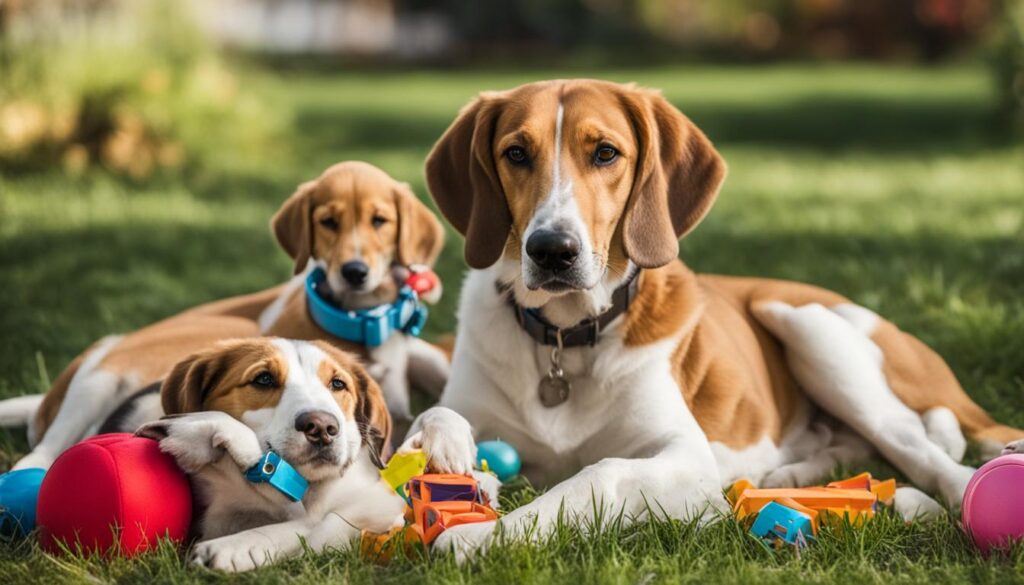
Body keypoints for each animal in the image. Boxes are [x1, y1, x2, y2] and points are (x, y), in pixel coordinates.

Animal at [0, 159, 448, 471]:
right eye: (328, 223)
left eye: (380, 222)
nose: (354, 272)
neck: (360, 319)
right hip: (120, 370)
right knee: (42, 452)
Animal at [132, 338, 475, 573]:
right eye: (263, 379)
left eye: (338, 383)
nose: (322, 427)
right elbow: (312, 524)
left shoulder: (378, 499)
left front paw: (451, 445)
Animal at [409, 78, 1024, 557]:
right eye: (516, 154)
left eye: (605, 153)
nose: (551, 250)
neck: (565, 337)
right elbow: (434, 414)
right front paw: (449, 451)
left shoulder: (686, 458)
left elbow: (601, 473)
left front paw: (481, 537)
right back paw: (791, 475)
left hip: (808, 325)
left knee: (929, 457)